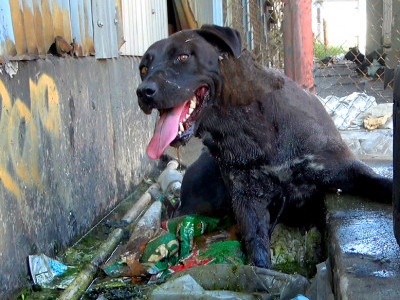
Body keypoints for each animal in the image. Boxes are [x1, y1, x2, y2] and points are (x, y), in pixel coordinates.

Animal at [136, 24, 392, 268]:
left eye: (182, 57)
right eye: (143, 69)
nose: (143, 92)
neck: (247, 125)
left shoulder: (340, 166)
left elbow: (378, 182)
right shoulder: (248, 199)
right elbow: (257, 246)